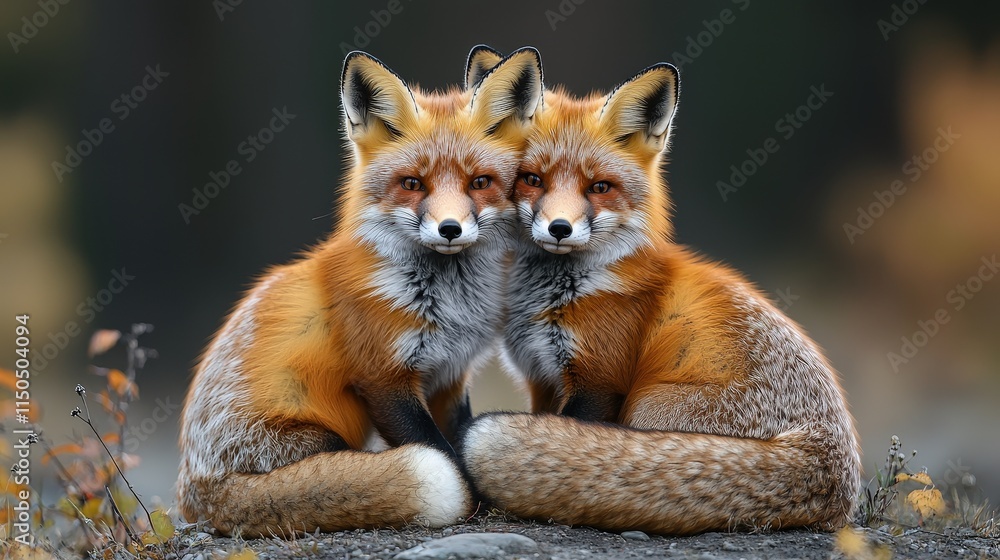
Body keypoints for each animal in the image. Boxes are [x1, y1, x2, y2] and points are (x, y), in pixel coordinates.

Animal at [177, 46, 544, 537]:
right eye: (412, 184)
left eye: (479, 182)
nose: (450, 229)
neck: (447, 300)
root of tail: (196, 498)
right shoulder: (381, 376)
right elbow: (439, 450)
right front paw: (476, 500)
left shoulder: (450, 374)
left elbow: (459, 435)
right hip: (311, 437)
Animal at [459, 62, 862, 534]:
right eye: (532, 180)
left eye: (599, 187)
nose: (560, 228)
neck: (557, 294)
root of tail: (831, 468)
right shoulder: (541, 378)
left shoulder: (600, 380)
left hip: (646, 407)